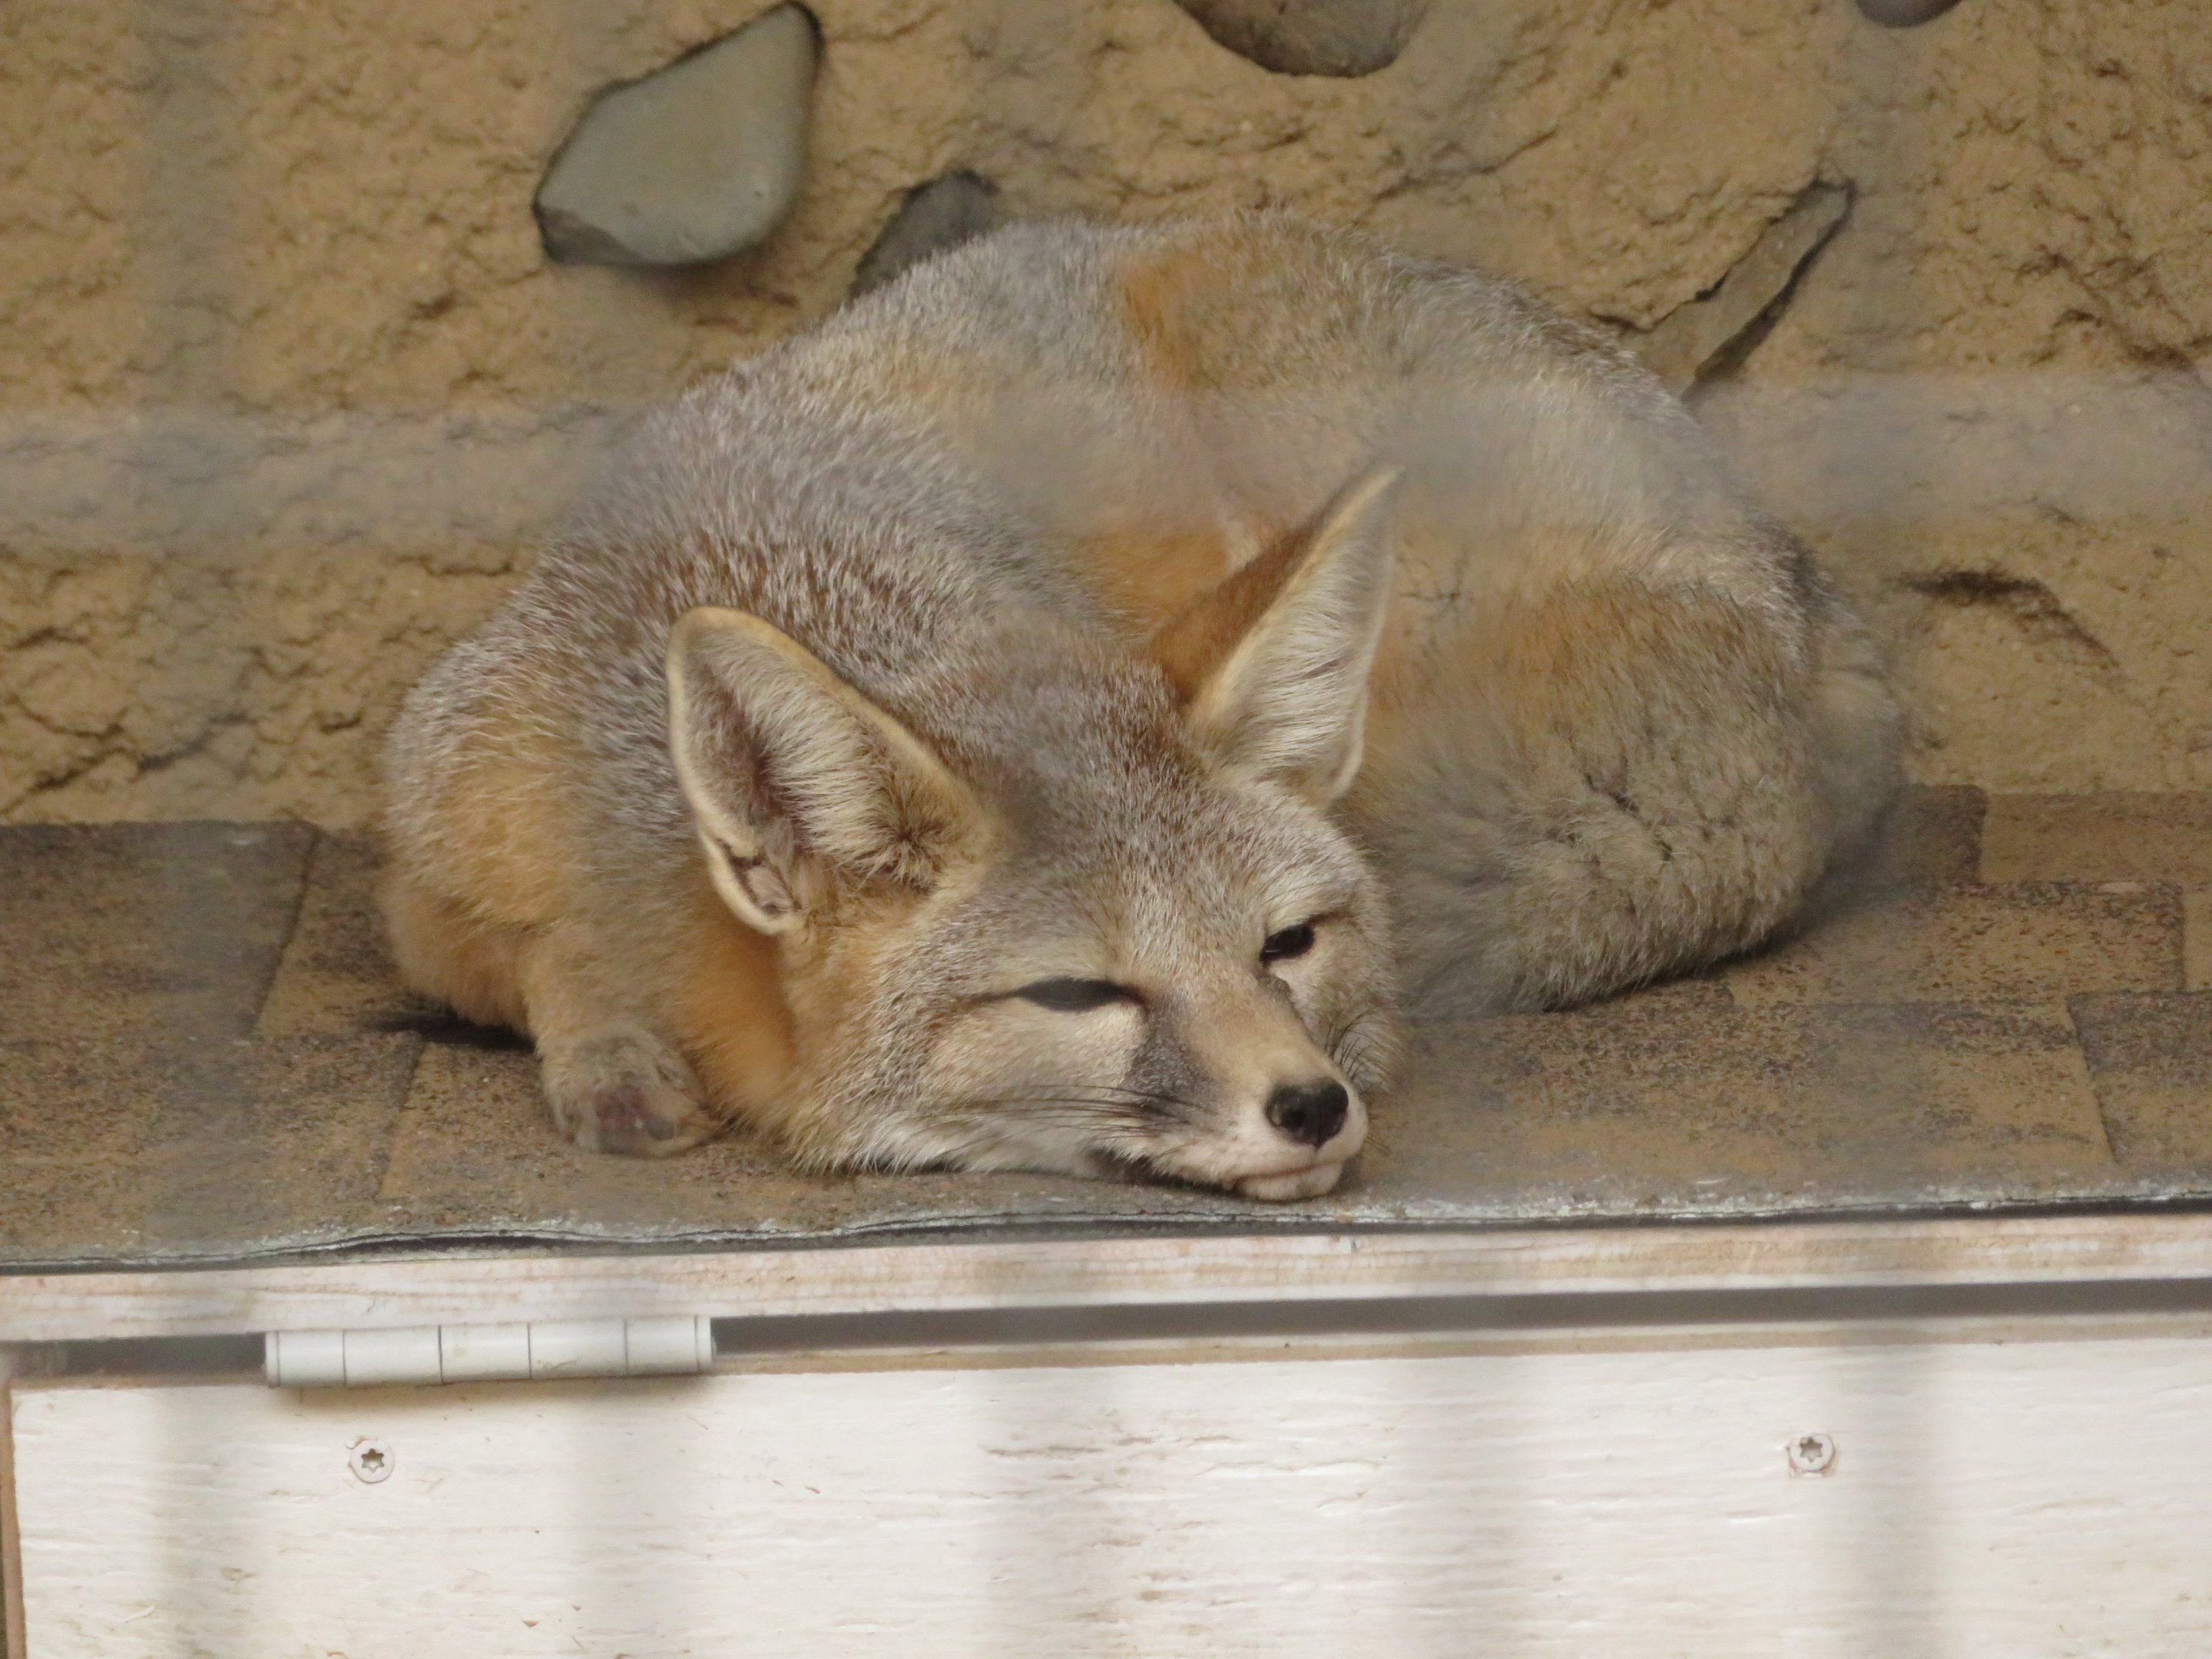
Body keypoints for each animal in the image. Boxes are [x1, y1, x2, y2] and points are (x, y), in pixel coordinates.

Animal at [381, 213, 1899, 1201]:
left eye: (1285, 945)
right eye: (1078, 993)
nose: (1313, 1103)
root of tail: (1804, 592)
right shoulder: (438, 846)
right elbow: (523, 955)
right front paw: (606, 1044)